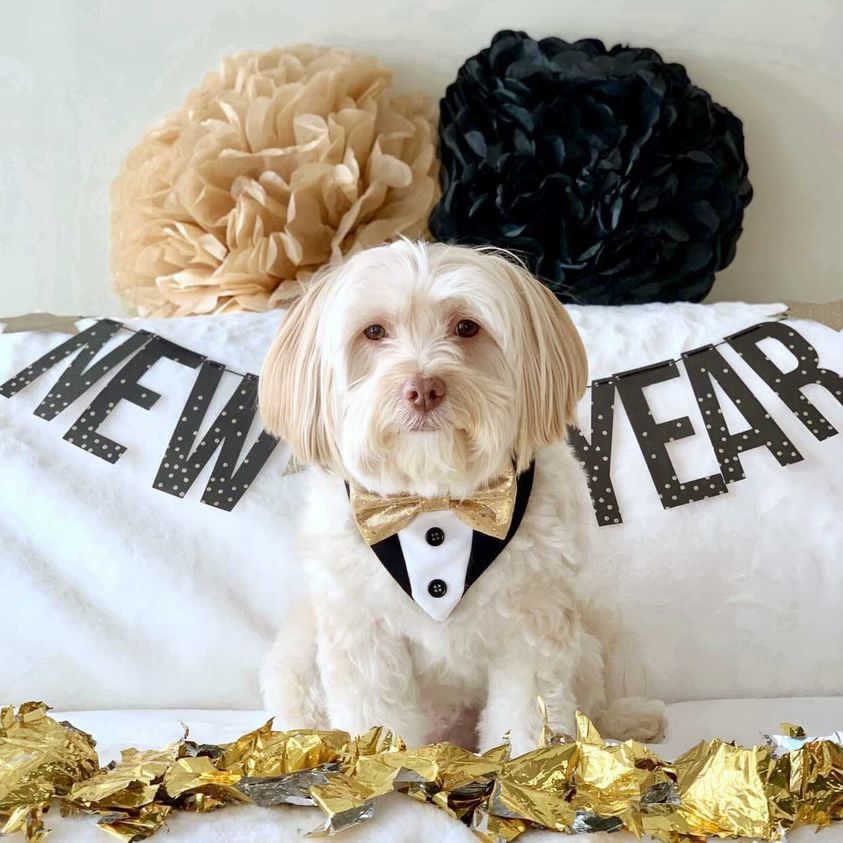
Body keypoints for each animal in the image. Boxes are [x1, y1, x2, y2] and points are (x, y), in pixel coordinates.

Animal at [258, 241, 664, 756]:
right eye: (374, 331)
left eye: (467, 327)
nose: (423, 388)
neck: (436, 500)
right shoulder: (365, 634)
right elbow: (378, 718)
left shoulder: (531, 627)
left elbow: (526, 716)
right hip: (297, 664)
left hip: (582, 650)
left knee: (588, 704)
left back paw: (629, 719)